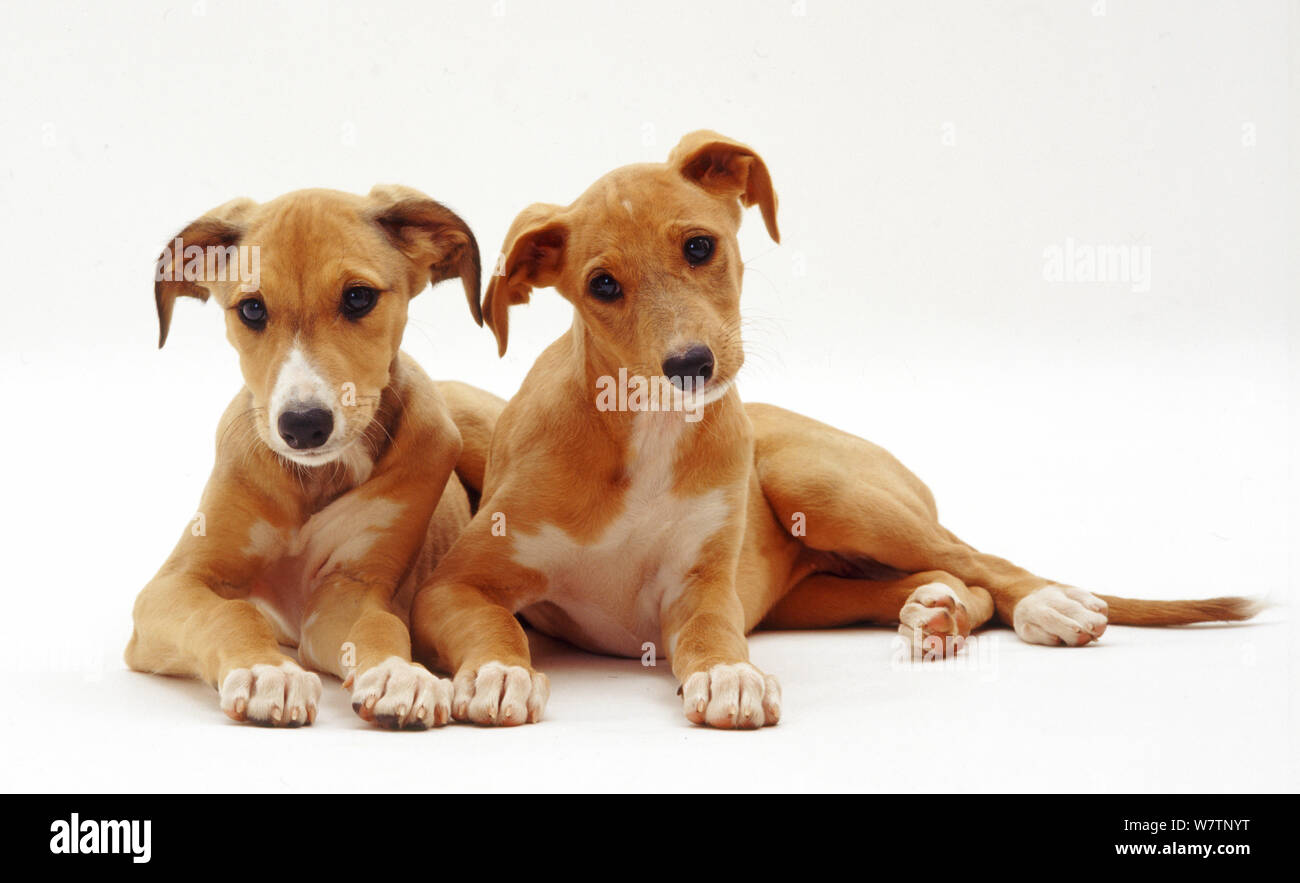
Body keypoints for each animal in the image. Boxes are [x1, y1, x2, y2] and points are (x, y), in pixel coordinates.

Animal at [125, 185, 501, 733]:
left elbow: (378, 625)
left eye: (358, 297)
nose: (303, 425)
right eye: (252, 309)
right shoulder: (171, 586)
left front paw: (397, 673)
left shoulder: (350, 590)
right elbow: (228, 612)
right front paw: (265, 670)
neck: (315, 478)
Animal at [408, 129, 1258, 723]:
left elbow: (713, 636)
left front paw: (730, 675)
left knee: (980, 558)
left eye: (700, 246)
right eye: (603, 286)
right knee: (940, 581)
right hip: (809, 589)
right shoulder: (458, 583)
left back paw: (1048, 603)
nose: (689, 364)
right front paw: (499, 672)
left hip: (818, 483)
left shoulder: (702, 587)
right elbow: (496, 626)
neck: (645, 434)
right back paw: (937, 611)